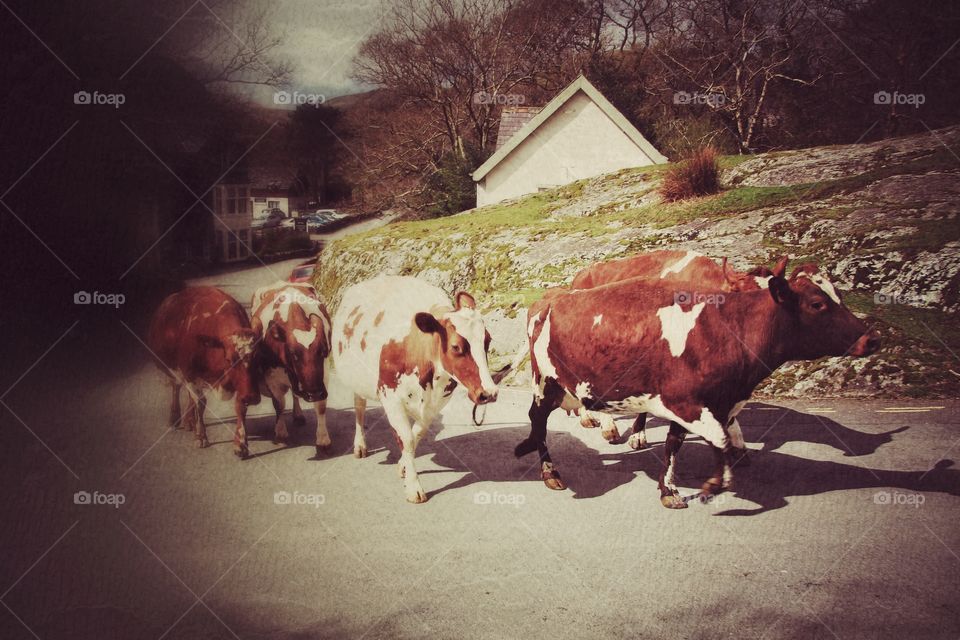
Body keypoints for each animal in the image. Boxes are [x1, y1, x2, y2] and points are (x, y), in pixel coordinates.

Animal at [146, 288, 260, 458]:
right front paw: (200, 436)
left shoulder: (242, 385)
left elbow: (240, 405)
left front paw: (241, 444)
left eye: (257, 356)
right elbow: (200, 402)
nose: (252, 397)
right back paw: (175, 418)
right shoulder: (189, 373)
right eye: (229, 359)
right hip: (173, 369)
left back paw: (189, 421)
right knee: (176, 387)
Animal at [251, 282, 334, 458]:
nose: (314, 393)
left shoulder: (322, 376)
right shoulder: (271, 377)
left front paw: (323, 440)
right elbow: (279, 404)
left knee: (295, 394)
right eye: (293, 354)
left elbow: (320, 407)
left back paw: (298, 415)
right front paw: (281, 432)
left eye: (322, 350)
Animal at [330, 278, 498, 502]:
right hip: (357, 381)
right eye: (455, 347)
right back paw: (360, 445)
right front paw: (413, 487)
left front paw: (403, 466)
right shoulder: (390, 397)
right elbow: (407, 438)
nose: (489, 393)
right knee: (359, 409)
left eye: (488, 340)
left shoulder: (436, 403)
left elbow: (417, 434)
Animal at [512, 262, 880, 510]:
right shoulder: (687, 402)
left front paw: (669, 490)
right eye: (817, 304)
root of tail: (551, 297)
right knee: (538, 421)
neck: (726, 328)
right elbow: (719, 440)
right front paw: (714, 483)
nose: (872, 339)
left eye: (839, 295)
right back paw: (550, 470)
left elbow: (676, 444)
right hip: (546, 383)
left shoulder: (698, 403)